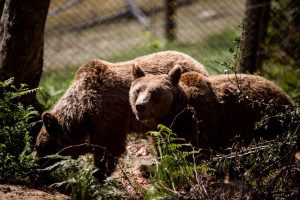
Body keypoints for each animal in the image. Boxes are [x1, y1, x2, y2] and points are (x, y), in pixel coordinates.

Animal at [35, 50, 209, 178]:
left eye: (40, 148)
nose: (37, 170)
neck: (83, 110)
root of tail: (196, 62)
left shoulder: (107, 115)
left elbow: (109, 149)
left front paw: (98, 174)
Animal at [129, 64, 292, 150]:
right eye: (138, 90)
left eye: (155, 92)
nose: (140, 106)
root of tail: (284, 93)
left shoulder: (201, 125)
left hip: (269, 122)